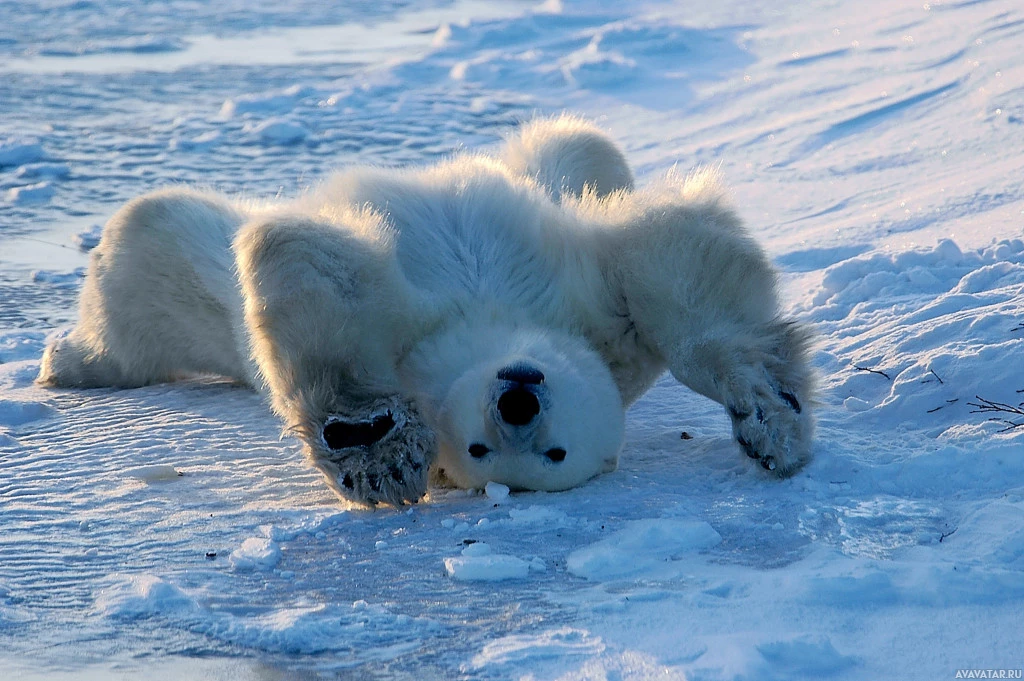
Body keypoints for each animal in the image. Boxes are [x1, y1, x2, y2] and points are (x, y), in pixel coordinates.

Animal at [36, 114, 811, 503]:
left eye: (555, 453)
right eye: (480, 446)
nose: (517, 401)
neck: (487, 325)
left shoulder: (601, 332)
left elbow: (678, 268)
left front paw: (770, 414)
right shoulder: (570, 310)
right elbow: (315, 269)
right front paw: (374, 443)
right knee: (150, 234)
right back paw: (68, 362)